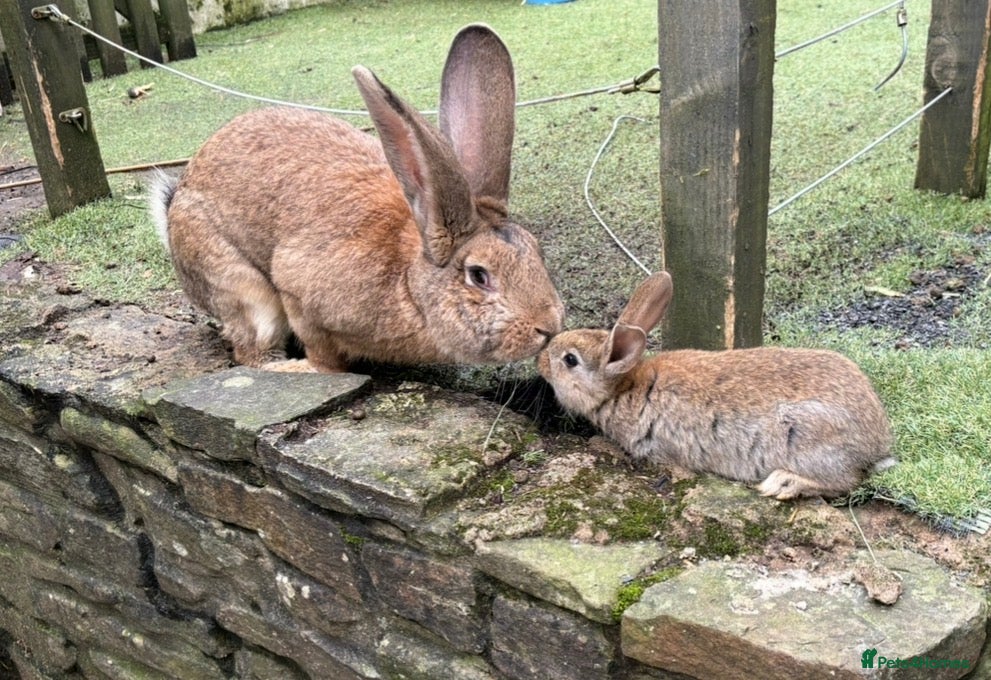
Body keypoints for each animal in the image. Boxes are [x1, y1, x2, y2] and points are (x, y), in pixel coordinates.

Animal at [149, 24, 564, 373]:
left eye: (537, 253)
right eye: (479, 276)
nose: (549, 326)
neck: (410, 287)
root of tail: (173, 210)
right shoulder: (298, 295)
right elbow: (324, 354)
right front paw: (322, 370)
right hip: (242, 290)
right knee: (252, 351)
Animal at [537, 271, 896, 500]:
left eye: (569, 360)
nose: (541, 361)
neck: (626, 386)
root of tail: (876, 444)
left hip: (806, 436)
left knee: (847, 480)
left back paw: (782, 484)